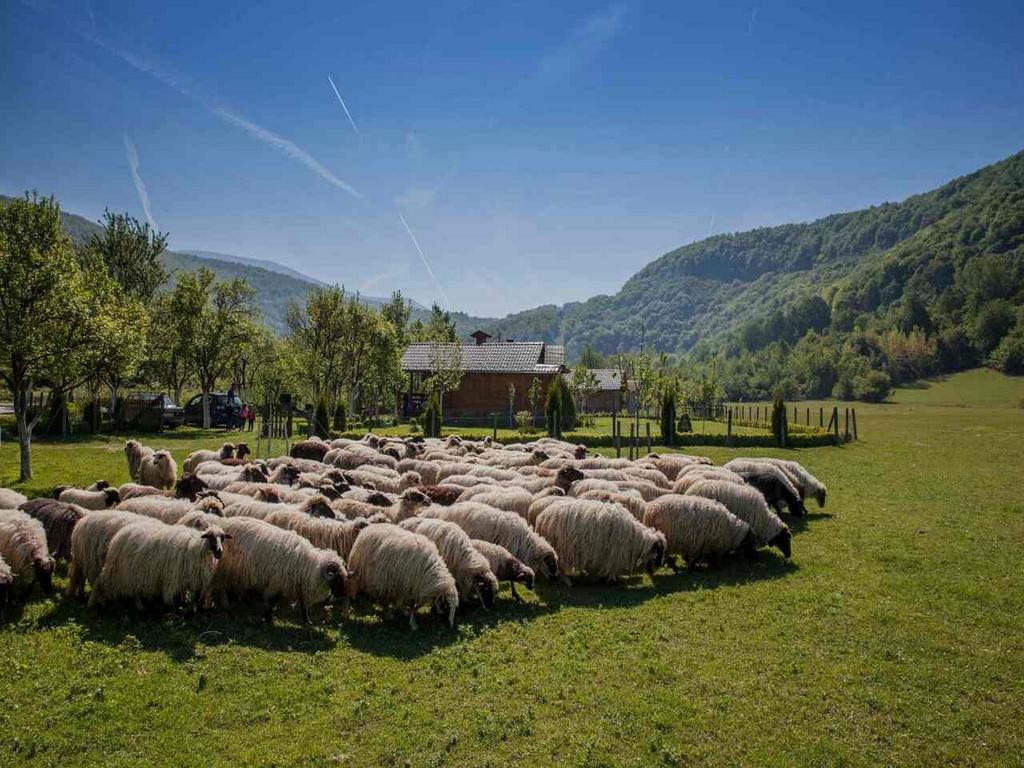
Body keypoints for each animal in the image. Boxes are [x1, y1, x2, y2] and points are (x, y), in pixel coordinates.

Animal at [89, 524, 228, 614]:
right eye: (210, 537)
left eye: (223, 538)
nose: (219, 552)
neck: (196, 547)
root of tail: (120, 534)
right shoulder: (172, 577)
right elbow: (170, 597)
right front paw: (174, 610)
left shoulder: (191, 577)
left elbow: (193, 595)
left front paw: (191, 609)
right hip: (120, 569)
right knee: (101, 582)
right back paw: (95, 602)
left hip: (132, 571)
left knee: (133, 591)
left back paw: (140, 606)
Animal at [532, 499, 667, 581]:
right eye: (659, 550)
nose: (661, 564)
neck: (635, 537)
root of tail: (542, 516)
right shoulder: (614, 554)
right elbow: (611, 569)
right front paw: (611, 579)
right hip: (559, 548)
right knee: (557, 566)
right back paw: (566, 580)